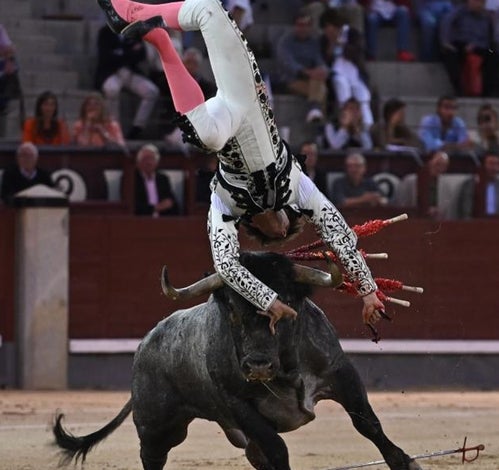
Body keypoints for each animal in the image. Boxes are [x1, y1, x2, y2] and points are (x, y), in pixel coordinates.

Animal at [54, 253, 422, 470]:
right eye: (230, 307)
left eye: (288, 301)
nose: (258, 366)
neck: (284, 370)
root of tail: (145, 344)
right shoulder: (237, 403)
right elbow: (277, 448)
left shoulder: (340, 373)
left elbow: (367, 423)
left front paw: (406, 462)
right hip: (157, 425)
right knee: (153, 456)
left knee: (253, 454)